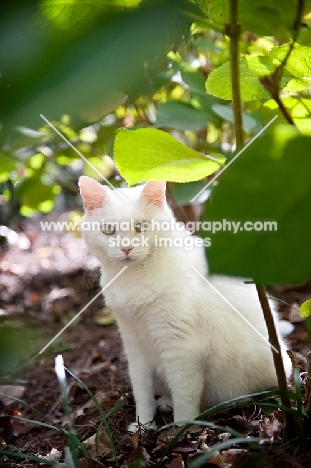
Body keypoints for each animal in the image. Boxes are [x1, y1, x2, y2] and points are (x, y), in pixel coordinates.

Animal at [78, 176, 292, 432]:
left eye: (142, 227)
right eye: (108, 230)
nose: (126, 248)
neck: (133, 279)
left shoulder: (181, 349)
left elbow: (185, 396)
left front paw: (180, 431)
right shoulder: (134, 344)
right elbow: (142, 392)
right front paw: (143, 426)